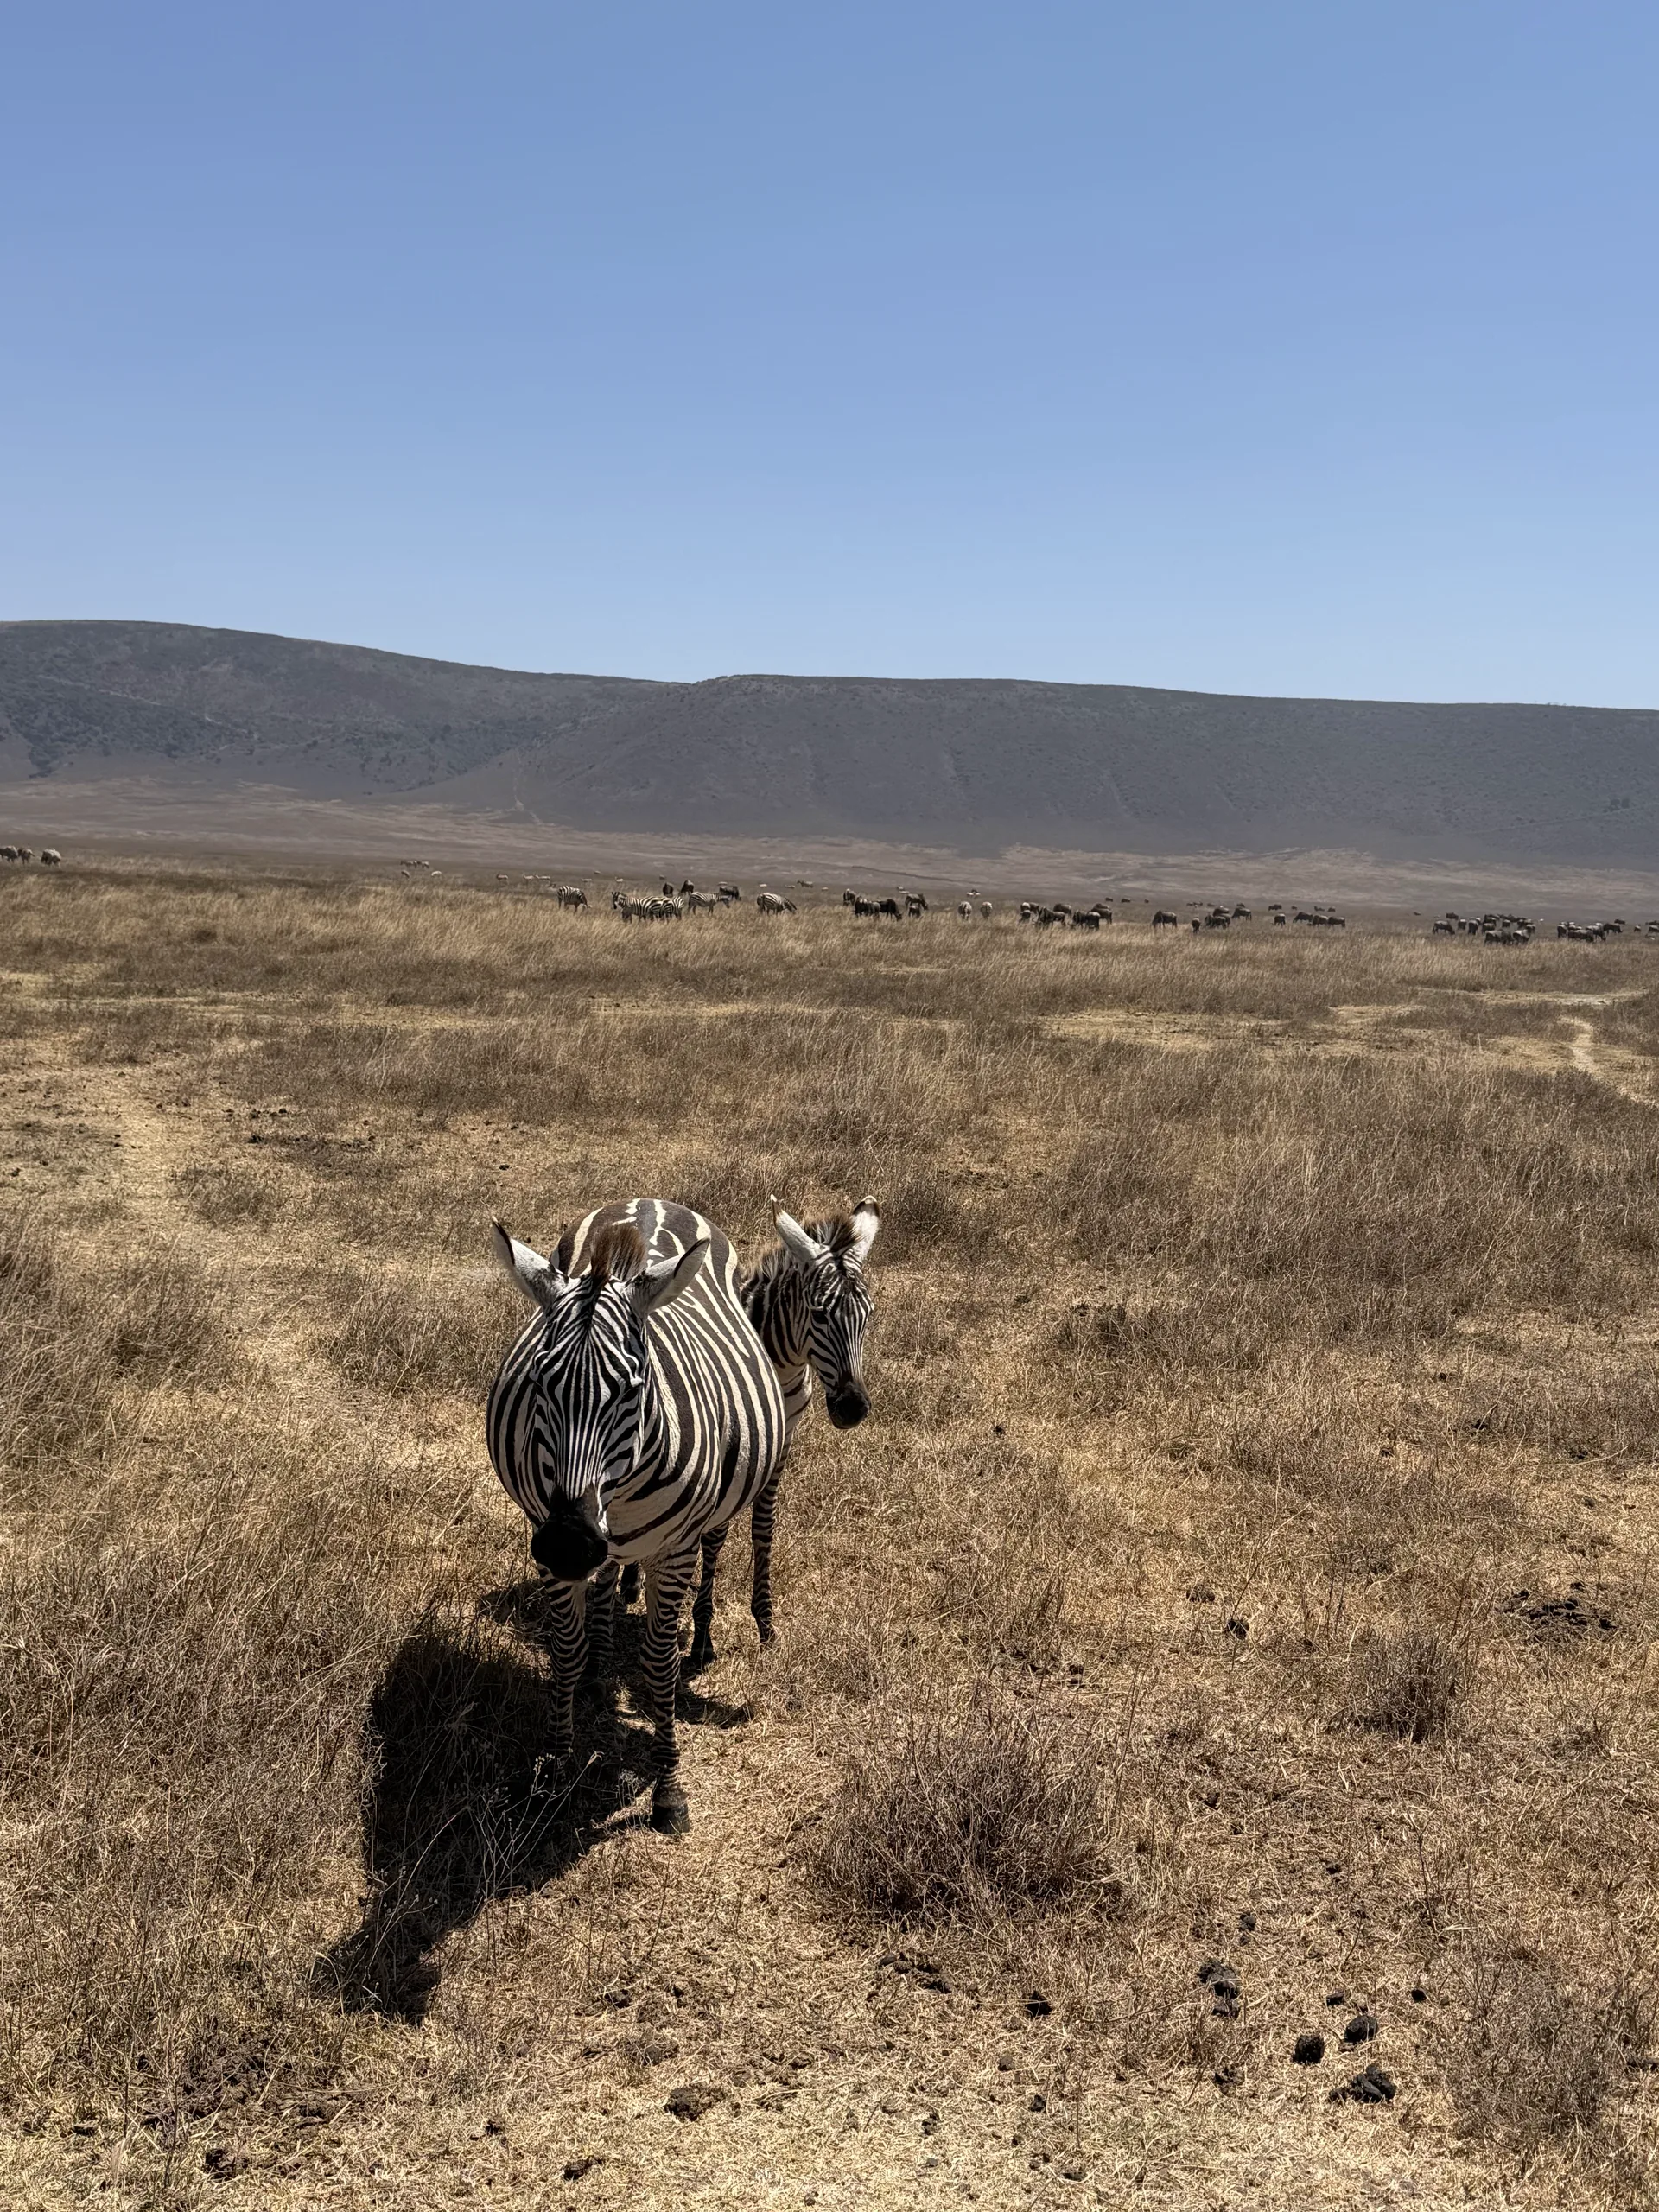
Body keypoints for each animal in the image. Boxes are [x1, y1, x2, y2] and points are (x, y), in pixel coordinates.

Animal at [488, 1201, 787, 1834]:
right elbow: (565, 1651)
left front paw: (668, 1790)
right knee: (603, 1589)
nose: (570, 1542)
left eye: (631, 1388)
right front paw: (554, 1773)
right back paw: (598, 1674)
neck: (612, 1497)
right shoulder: (545, 1535)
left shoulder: (672, 1552)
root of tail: (650, 1202)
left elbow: (657, 1663)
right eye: (539, 1382)